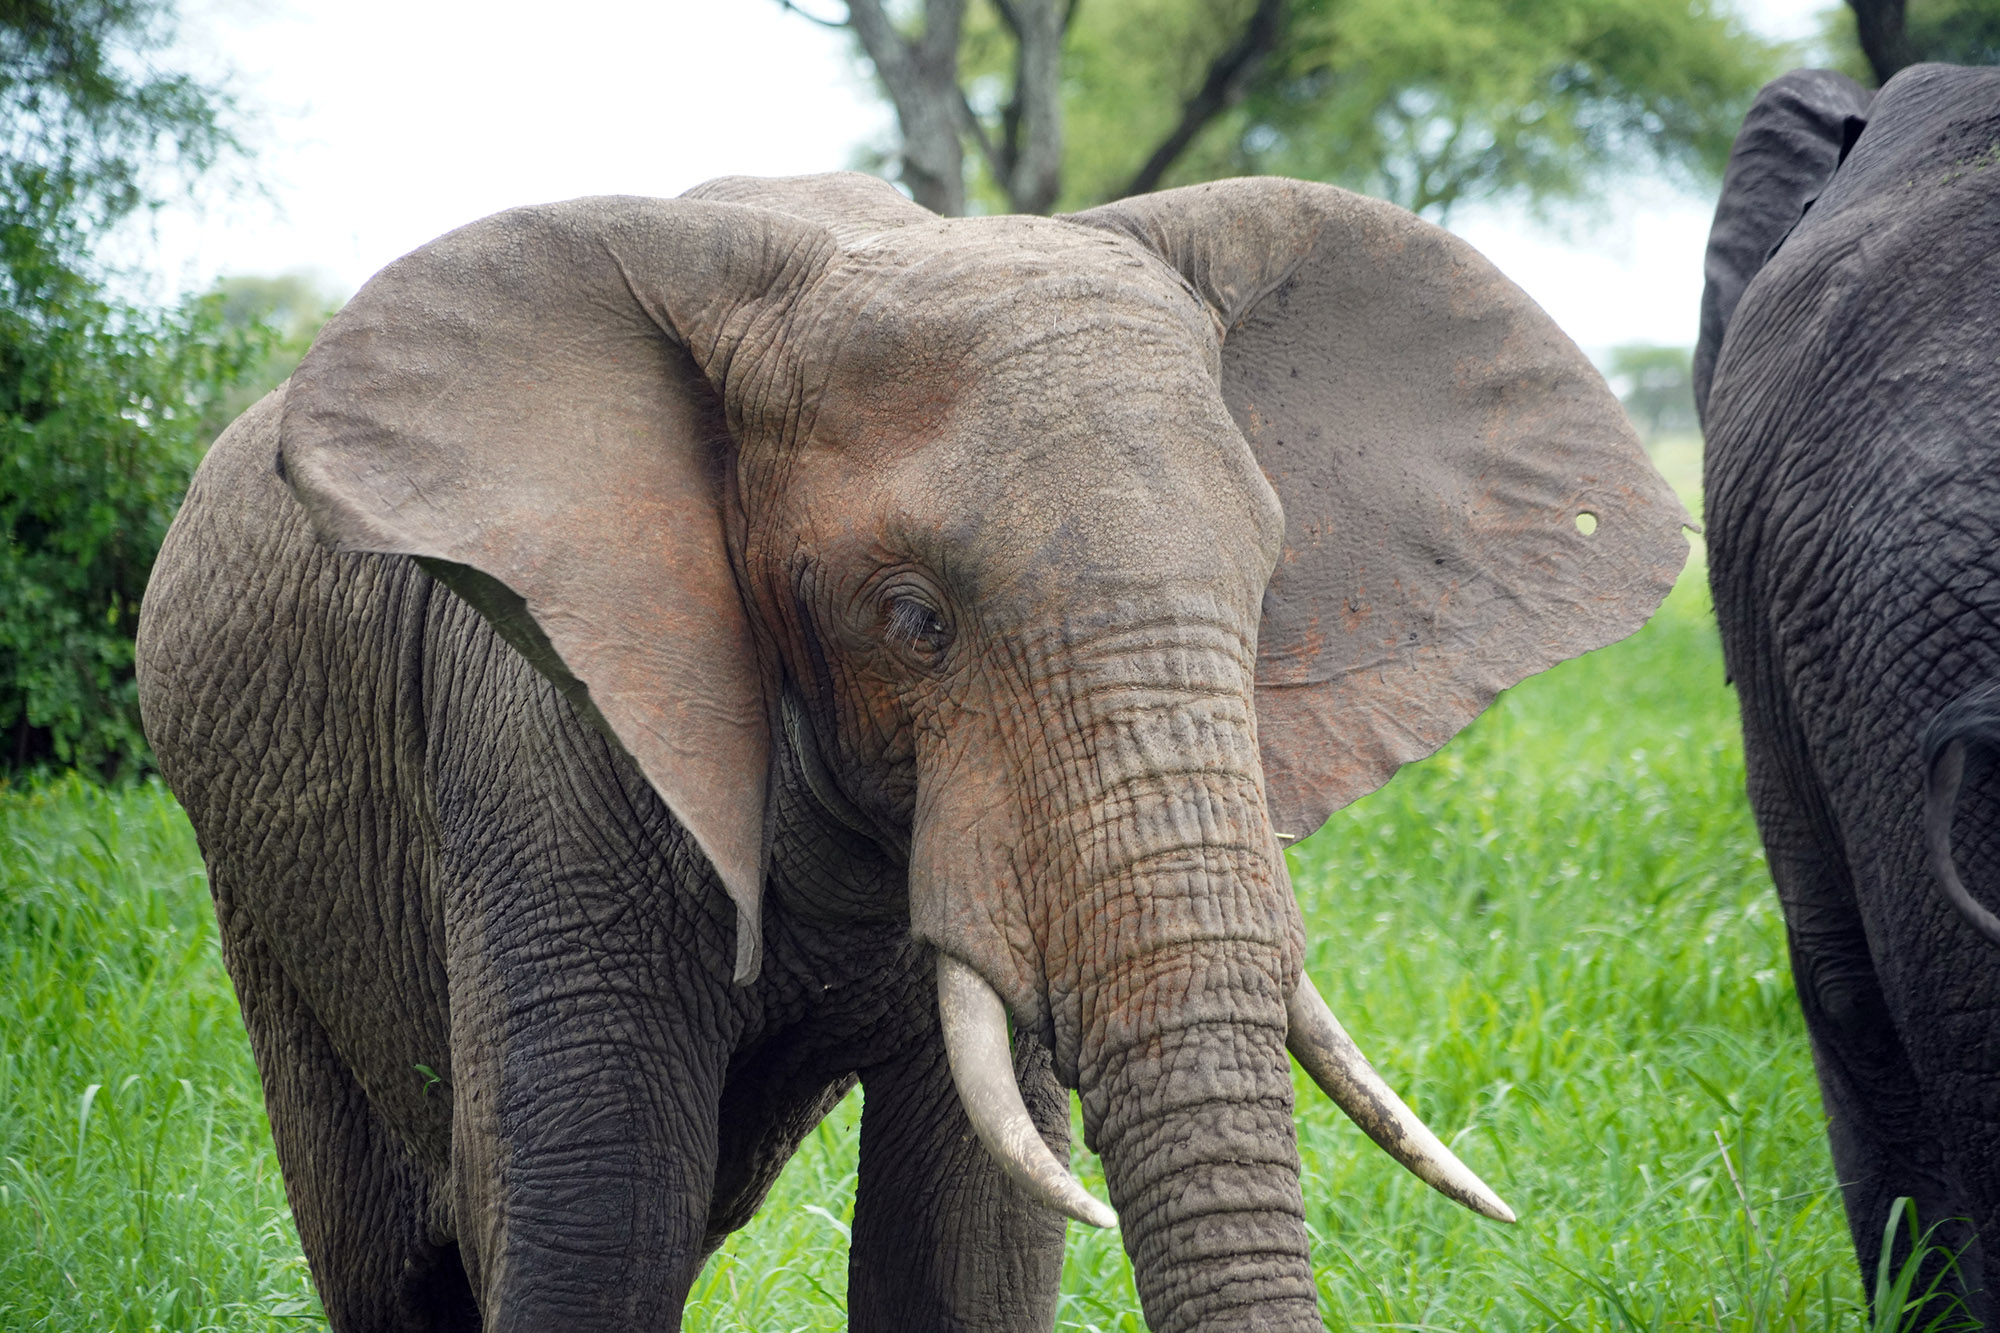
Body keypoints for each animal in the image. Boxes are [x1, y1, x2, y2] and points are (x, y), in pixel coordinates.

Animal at [137, 170, 1690, 1331]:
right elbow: (595, 1225)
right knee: (396, 1260)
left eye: (1265, 592)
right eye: (912, 619)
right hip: (254, 878)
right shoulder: (546, 747)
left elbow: (967, 1250)